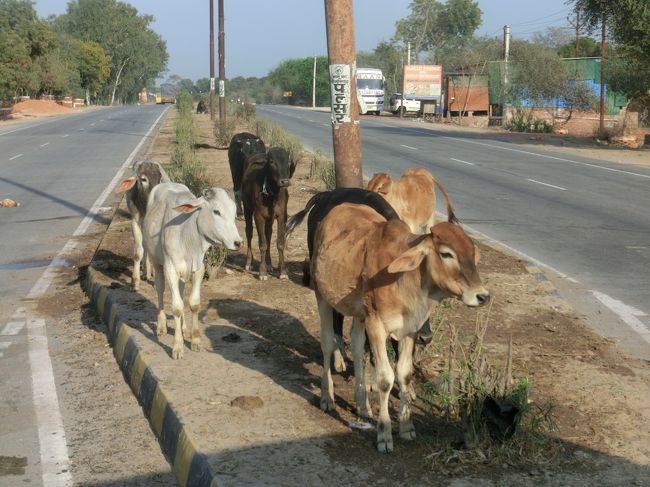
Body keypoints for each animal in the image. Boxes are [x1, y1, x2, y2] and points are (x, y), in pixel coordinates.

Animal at [115, 160, 170, 292]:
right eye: (143, 179)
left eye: (159, 178)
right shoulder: (135, 221)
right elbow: (138, 252)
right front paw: (135, 282)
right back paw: (146, 272)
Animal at [142, 182, 240, 358]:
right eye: (216, 211)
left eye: (234, 212)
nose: (238, 242)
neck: (188, 235)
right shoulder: (171, 269)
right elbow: (177, 307)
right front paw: (177, 347)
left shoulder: (199, 268)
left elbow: (193, 303)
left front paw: (195, 340)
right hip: (155, 261)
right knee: (160, 289)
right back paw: (161, 326)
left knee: (181, 292)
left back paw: (184, 329)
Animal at [242, 147, 294, 280]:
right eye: (272, 162)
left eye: (287, 161)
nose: (284, 181)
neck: (272, 195)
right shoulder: (258, 216)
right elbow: (262, 244)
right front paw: (262, 272)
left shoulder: (282, 216)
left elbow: (280, 243)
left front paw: (283, 271)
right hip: (247, 208)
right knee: (249, 232)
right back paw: (248, 262)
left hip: (269, 219)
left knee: (269, 234)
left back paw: (269, 263)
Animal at [310, 202, 486, 454]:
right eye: (446, 253)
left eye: (472, 253)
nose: (482, 296)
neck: (408, 280)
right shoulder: (376, 325)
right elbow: (385, 379)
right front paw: (384, 433)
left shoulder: (409, 330)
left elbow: (404, 374)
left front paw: (406, 426)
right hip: (322, 296)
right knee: (326, 344)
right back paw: (328, 398)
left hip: (359, 313)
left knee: (357, 346)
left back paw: (363, 406)